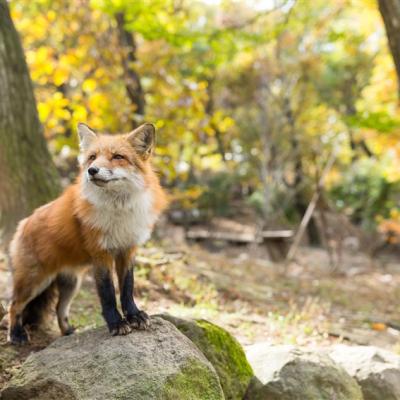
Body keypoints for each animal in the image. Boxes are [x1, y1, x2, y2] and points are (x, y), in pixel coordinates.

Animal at [7, 122, 167, 344]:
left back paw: (68, 332)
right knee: (13, 305)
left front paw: (134, 316)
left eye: (118, 156)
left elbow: (127, 288)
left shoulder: (127, 249)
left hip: (71, 285)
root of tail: (22, 224)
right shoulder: (101, 253)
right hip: (34, 281)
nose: (92, 170)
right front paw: (116, 323)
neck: (118, 211)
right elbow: (108, 293)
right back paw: (16, 334)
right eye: (92, 157)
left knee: (60, 308)